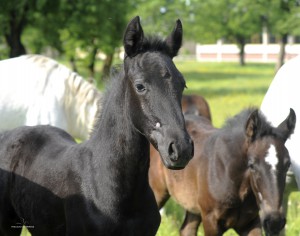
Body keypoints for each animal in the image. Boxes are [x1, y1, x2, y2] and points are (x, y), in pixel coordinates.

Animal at [149, 107, 294, 236]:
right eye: (252, 165)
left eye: (288, 164)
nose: (275, 222)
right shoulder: (211, 221)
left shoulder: (251, 222)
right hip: (157, 192)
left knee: (186, 230)